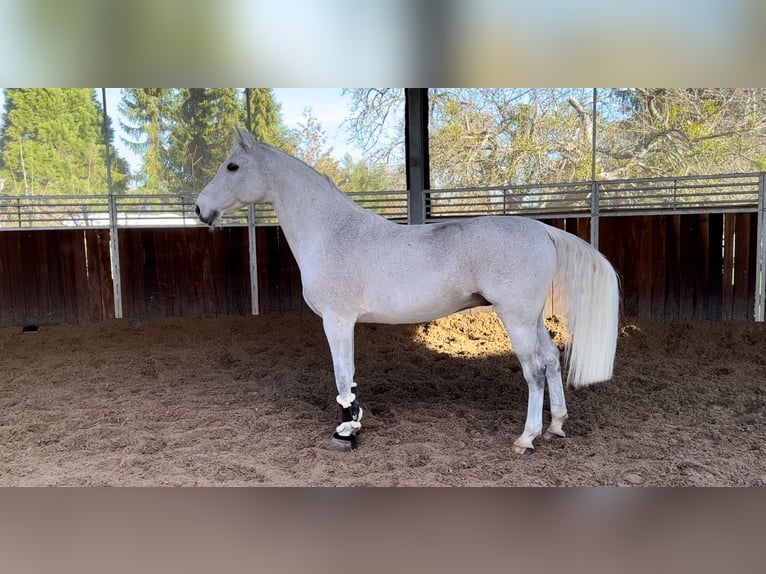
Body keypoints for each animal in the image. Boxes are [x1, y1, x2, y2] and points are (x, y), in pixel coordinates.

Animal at [195, 129, 620, 454]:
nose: (200, 208)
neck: (333, 233)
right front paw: (354, 422)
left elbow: (341, 376)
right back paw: (556, 426)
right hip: (532, 320)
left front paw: (344, 433)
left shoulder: (337, 320)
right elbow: (350, 378)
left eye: (232, 166)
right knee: (550, 360)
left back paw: (526, 438)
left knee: (533, 370)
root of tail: (541, 228)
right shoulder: (344, 323)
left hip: (515, 318)